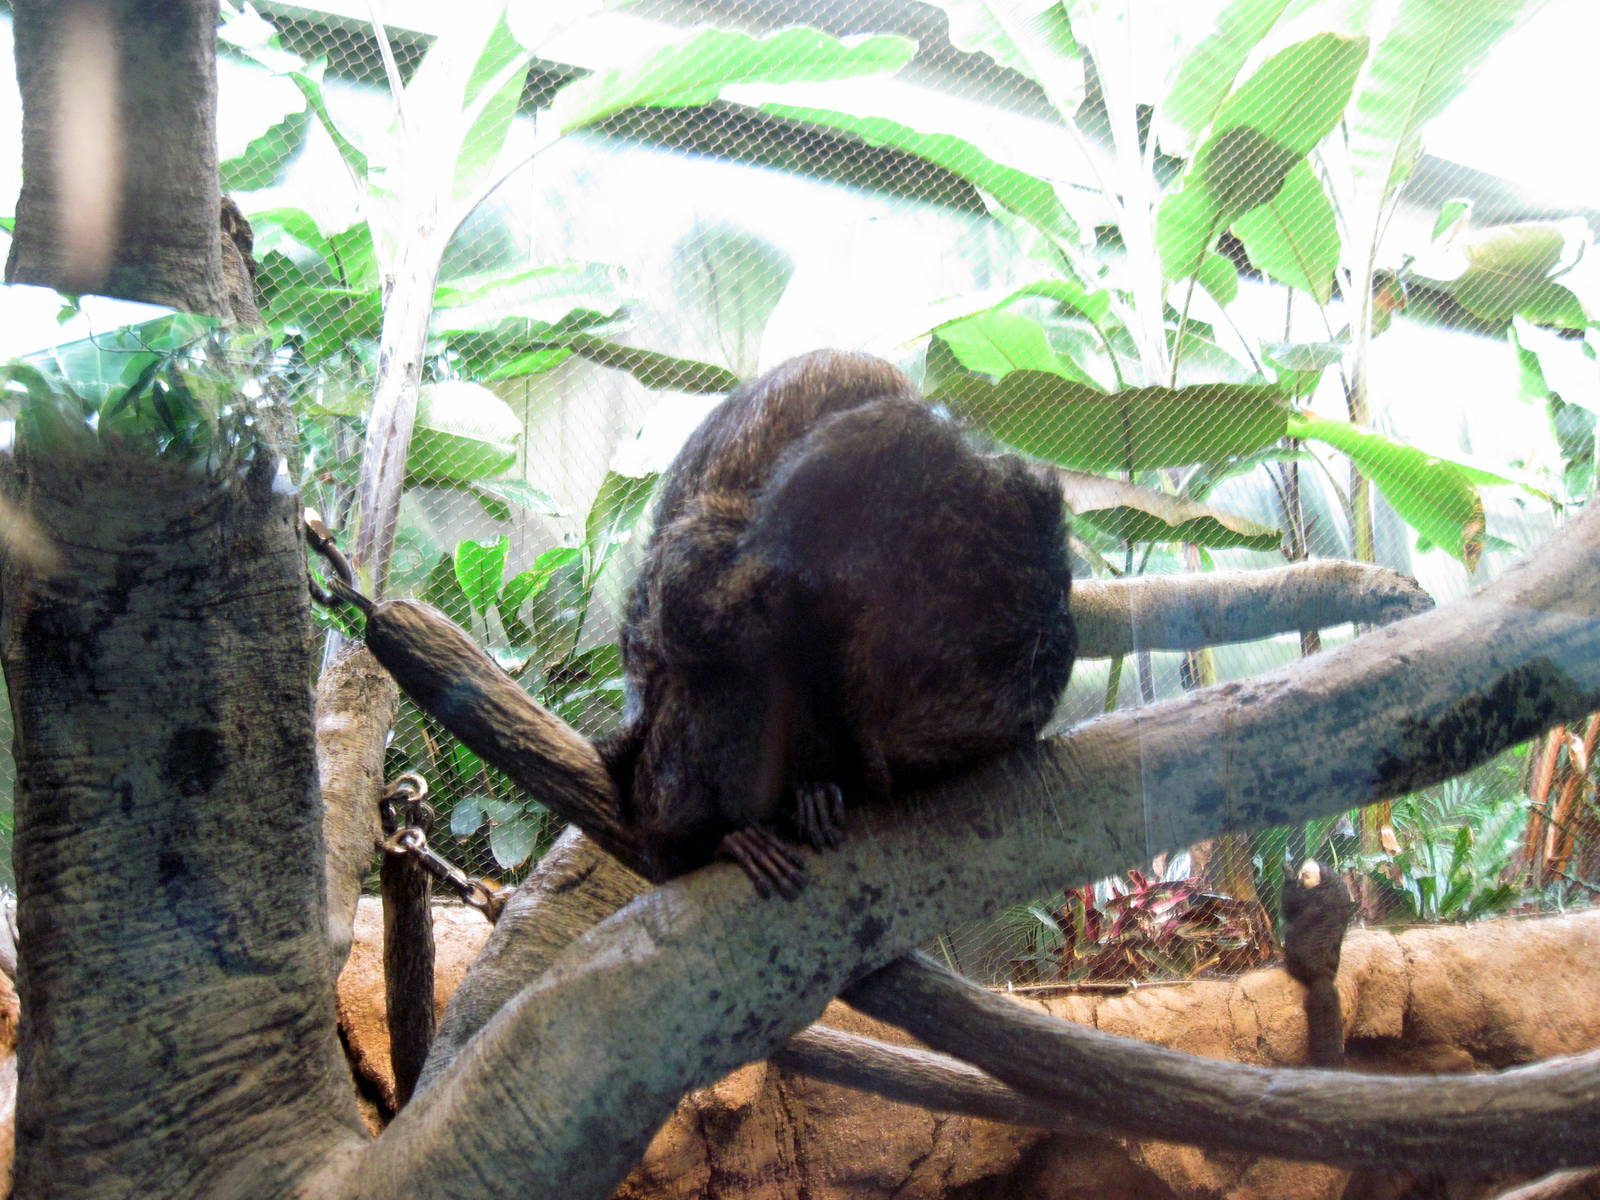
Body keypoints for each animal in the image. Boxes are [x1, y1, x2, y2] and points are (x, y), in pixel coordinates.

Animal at [1280, 858, 1357, 1067]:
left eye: (1305, 875)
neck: (1329, 880)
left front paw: (1289, 875)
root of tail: (1321, 975)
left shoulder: (1315, 895)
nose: (1301, 879)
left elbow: (1292, 904)